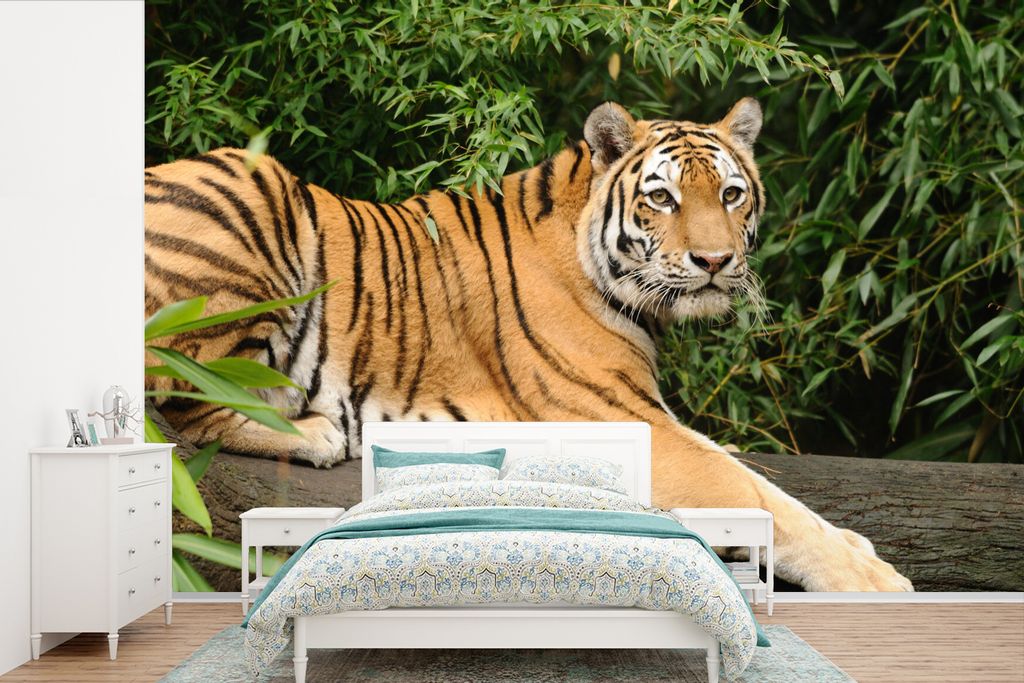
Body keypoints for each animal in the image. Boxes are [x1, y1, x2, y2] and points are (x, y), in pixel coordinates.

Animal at [145, 98, 913, 592]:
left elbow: (762, 483)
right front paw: (878, 582)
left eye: (730, 194)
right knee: (182, 404)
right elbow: (750, 492)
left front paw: (856, 544)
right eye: (662, 198)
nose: (716, 262)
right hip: (254, 197)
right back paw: (314, 432)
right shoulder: (617, 413)